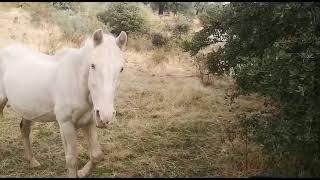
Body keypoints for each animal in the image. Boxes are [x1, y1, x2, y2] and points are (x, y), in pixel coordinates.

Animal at [0, 29, 127, 177]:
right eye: (93, 65)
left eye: (121, 69)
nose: (105, 118)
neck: (76, 81)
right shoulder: (66, 124)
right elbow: (71, 160)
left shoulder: (88, 122)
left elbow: (96, 155)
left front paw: (82, 172)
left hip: (28, 110)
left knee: (24, 129)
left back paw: (32, 161)